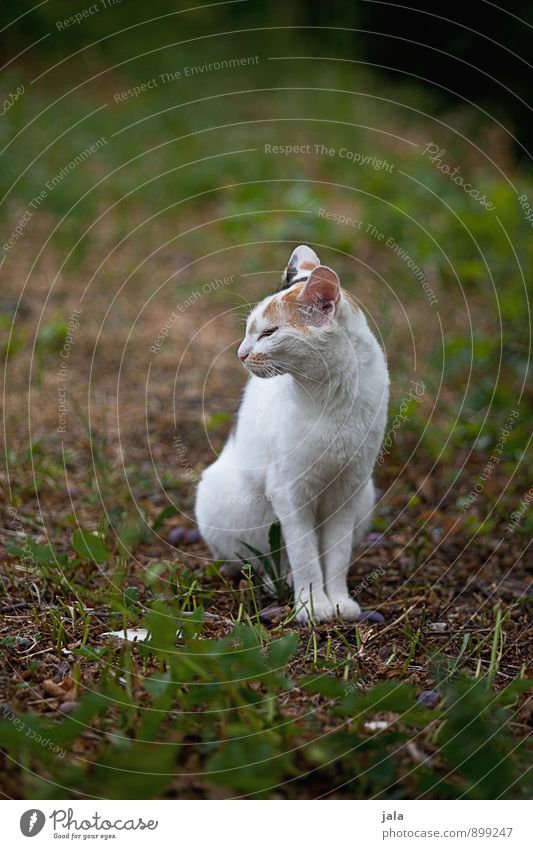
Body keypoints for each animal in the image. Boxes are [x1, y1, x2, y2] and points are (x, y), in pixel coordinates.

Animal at [193, 245, 388, 624]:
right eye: (250, 331)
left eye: (269, 333)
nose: (241, 354)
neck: (330, 396)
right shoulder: (290, 493)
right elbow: (305, 555)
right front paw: (312, 605)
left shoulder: (346, 491)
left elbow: (337, 554)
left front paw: (338, 601)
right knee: (262, 560)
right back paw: (277, 582)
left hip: (365, 495)